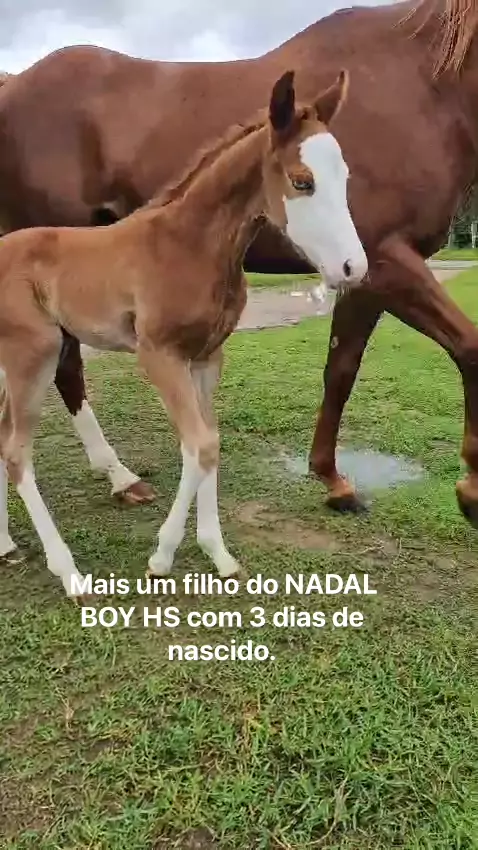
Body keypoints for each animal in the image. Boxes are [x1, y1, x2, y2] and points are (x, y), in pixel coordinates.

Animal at [0, 0, 478, 525]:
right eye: (303, 181)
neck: (425, 85)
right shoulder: (387, 259)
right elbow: (469, 347)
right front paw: (470, 490)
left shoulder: (361, 272)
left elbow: (341, 368)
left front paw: (332, 479)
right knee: (66, 367)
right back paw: (119, 476)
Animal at [0, 70, 367, 599]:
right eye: (303, 181)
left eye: (344, 178)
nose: (354, 268)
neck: (190, 243)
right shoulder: (159, 356)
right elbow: (199, 446)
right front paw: (162, 556)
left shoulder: (207, 358)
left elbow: (208, 443)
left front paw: (218, 553)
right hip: (35, 353)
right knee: (16, 452)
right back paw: (67, 570)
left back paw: (5, 544)